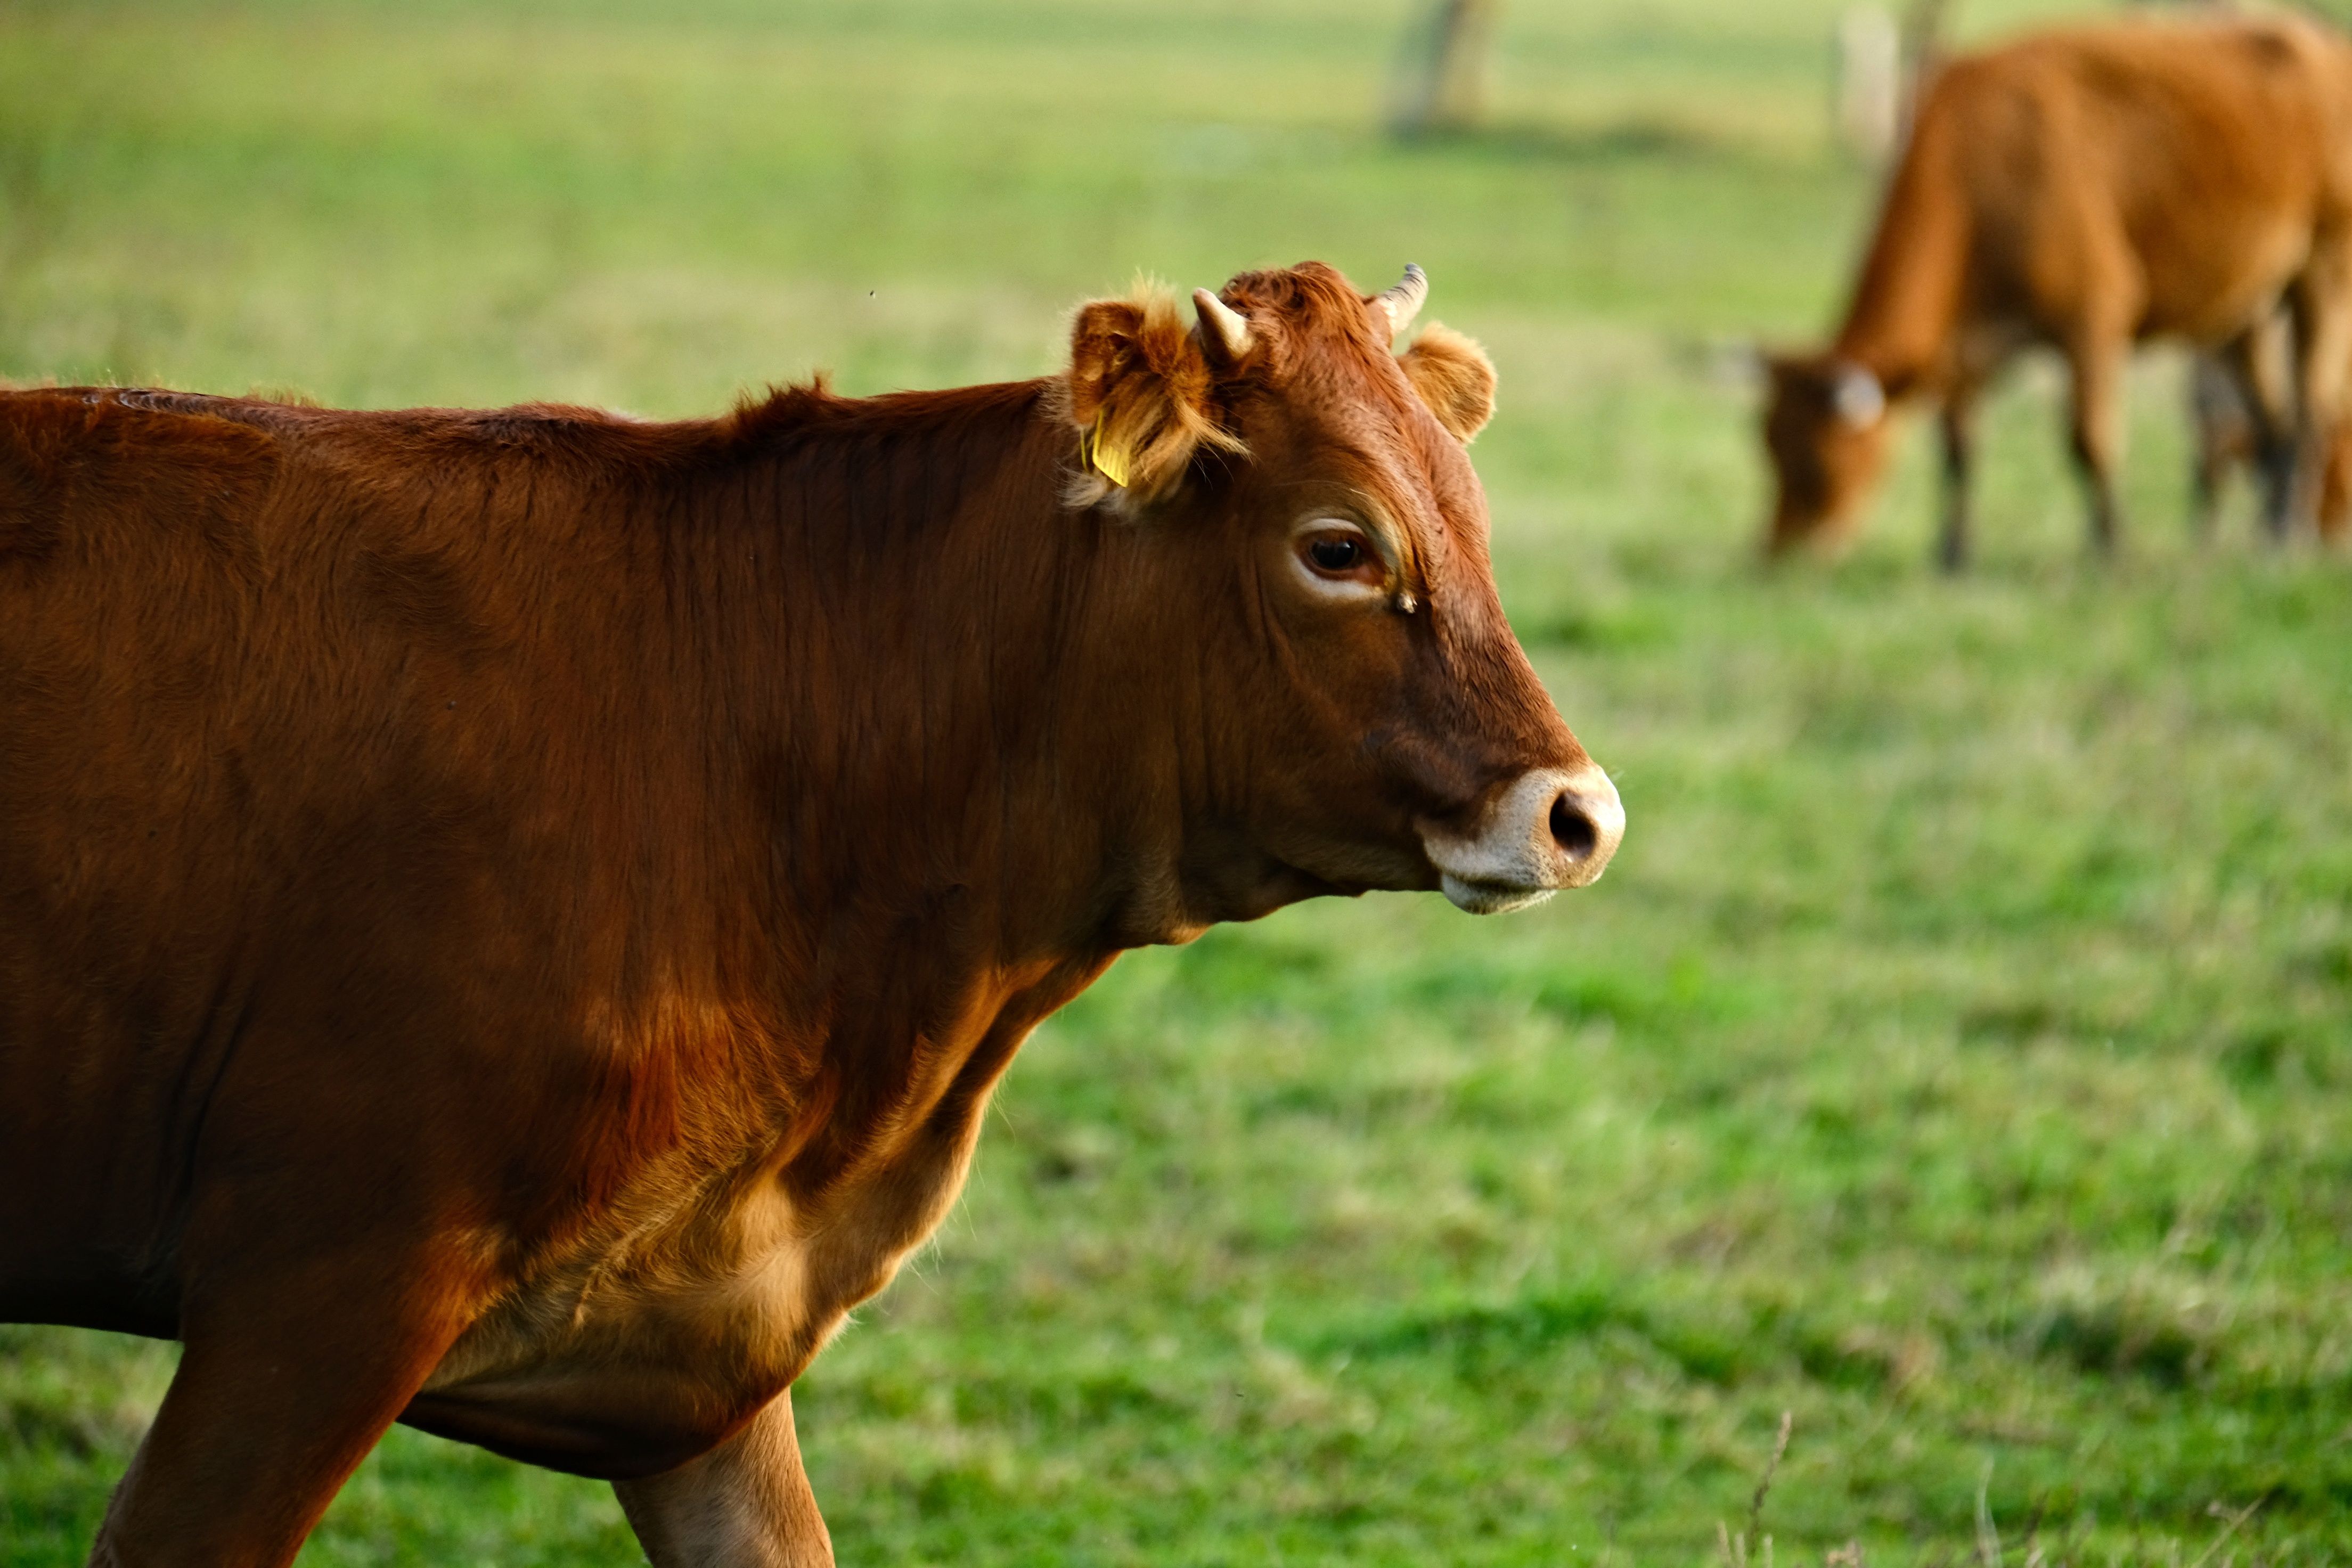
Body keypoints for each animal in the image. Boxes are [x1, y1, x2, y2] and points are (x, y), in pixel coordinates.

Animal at [1759, 12, 2352, 568]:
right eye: (1770, 449)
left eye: (1816, 464)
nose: (1778, 555)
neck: (1976, 165)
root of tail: (2326, 47)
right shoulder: (1966, 349)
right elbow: (1958, 450)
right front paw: (1952, 557)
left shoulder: (2091, 318)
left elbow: (2090, 441)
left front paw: (2111, 551)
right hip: (2238, 313)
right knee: (2272, 425)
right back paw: (2268, 536)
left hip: (2323, 274)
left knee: (2312, 411)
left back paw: (2293, 533)